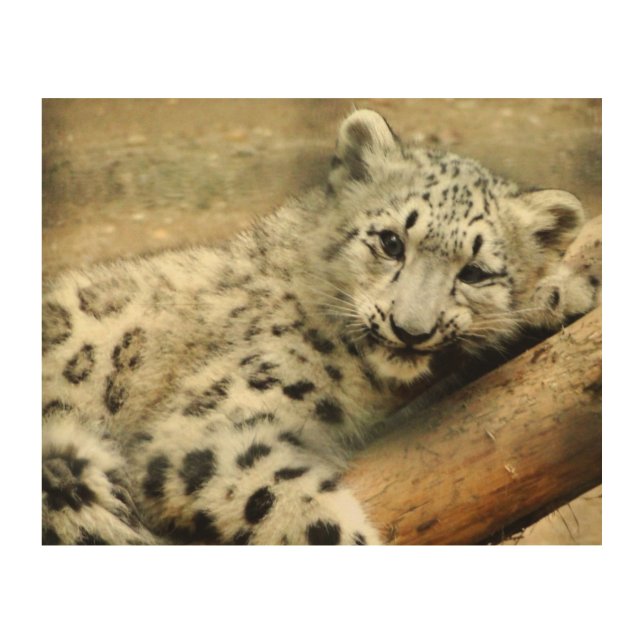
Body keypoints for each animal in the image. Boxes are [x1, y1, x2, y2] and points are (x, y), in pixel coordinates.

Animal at [42, 109, 600, 545]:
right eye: (391, 241)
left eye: (475, 272)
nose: (409, 330)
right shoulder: (200, 430)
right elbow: (306, 515)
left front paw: (562, 290)